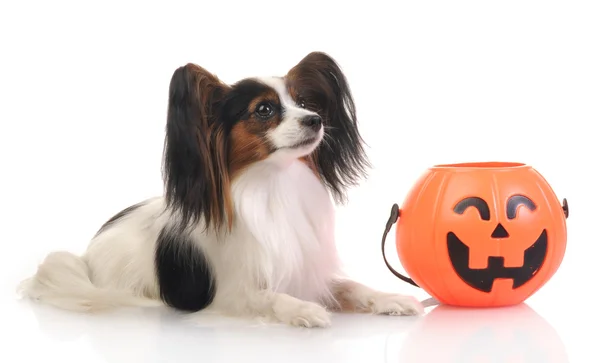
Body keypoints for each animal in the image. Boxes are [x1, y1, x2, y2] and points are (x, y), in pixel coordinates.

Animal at [18, 51, 422, 328]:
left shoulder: (308, 273)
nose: (316, 120)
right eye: (264, 110)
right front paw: (305, 309)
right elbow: (271, 297)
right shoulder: (233, 293)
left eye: (305, 103)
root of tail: (85, 256)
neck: (272, 183)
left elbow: (352, 286)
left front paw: (391, 298)